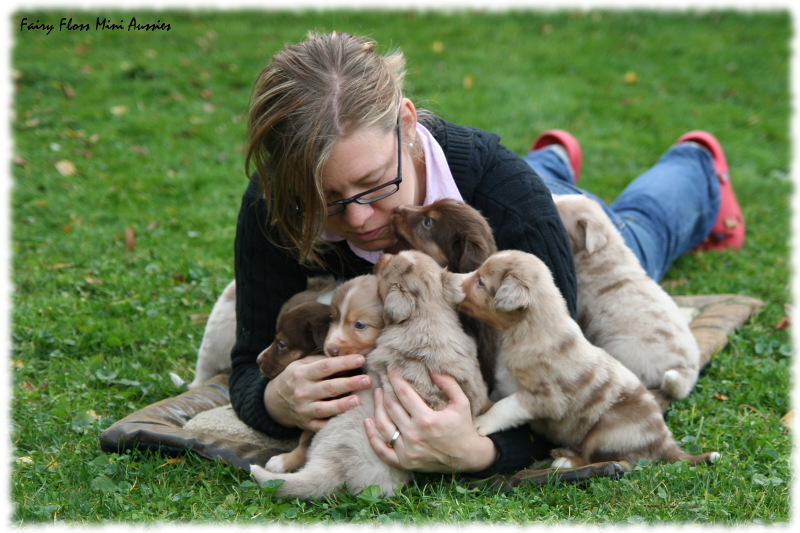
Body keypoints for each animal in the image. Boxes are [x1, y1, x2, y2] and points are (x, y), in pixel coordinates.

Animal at [456, 248, 720, 466]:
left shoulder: (545, 397)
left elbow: (505, 407)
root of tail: (664, 443)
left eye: (481, 281)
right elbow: (496, 397)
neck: (528, 332)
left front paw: (481, 423)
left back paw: (566, 461)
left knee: (600, 458)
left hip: (608, 431)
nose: (453, 279)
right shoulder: (505, 384)